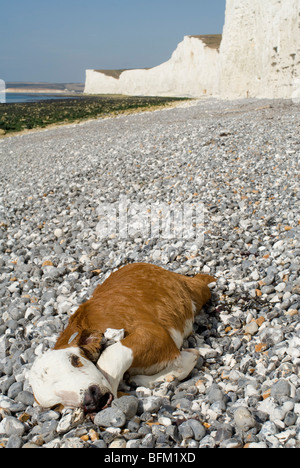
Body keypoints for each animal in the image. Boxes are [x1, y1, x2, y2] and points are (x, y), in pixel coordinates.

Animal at [29, 264, 214, 414]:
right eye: (55, 406)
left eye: (75, 360)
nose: (92, 399)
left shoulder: (154, 333)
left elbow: (112, 355)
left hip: (196, 291)